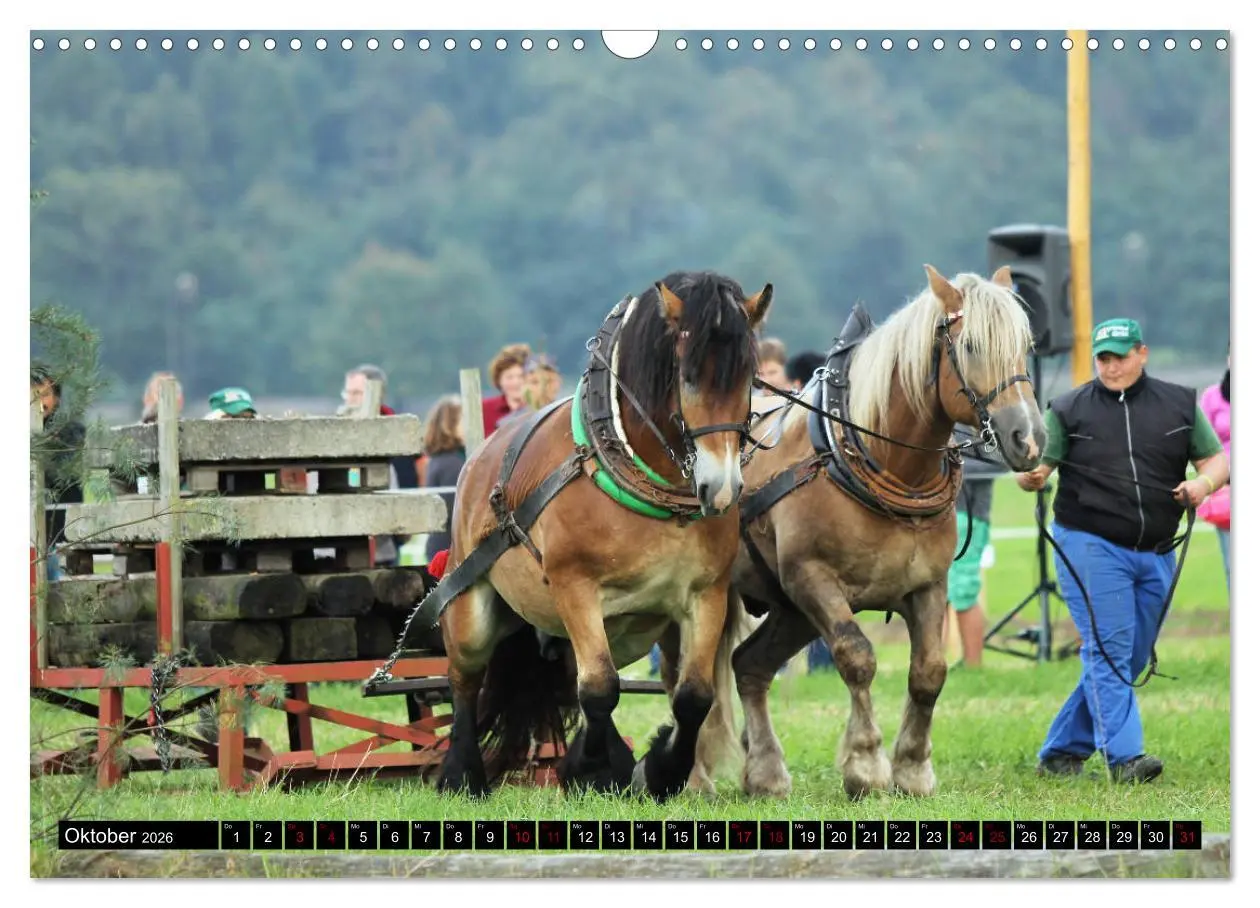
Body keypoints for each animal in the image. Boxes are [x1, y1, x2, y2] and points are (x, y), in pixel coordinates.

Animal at [434, 270, 773, 802]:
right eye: (688, 376)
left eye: (748, 378)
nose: (720, 488)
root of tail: (478, 459)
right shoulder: (574, 586)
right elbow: (598, 689)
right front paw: (590, 767)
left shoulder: (707, 593)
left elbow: (692, 696)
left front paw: (659, 770)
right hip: (473, 605)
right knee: (467, 678)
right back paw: (461, 774)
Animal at [679, 264, 1046, 800]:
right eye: (973, 345)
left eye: (1026, 345)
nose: (1030, 438)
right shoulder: (813, 580)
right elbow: (857, 657)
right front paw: (867, 765)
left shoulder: (927, 585)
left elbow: (929, 672)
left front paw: (913, 768)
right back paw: (693, 777)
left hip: (790, 611)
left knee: (748, 666)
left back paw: (765, 772)